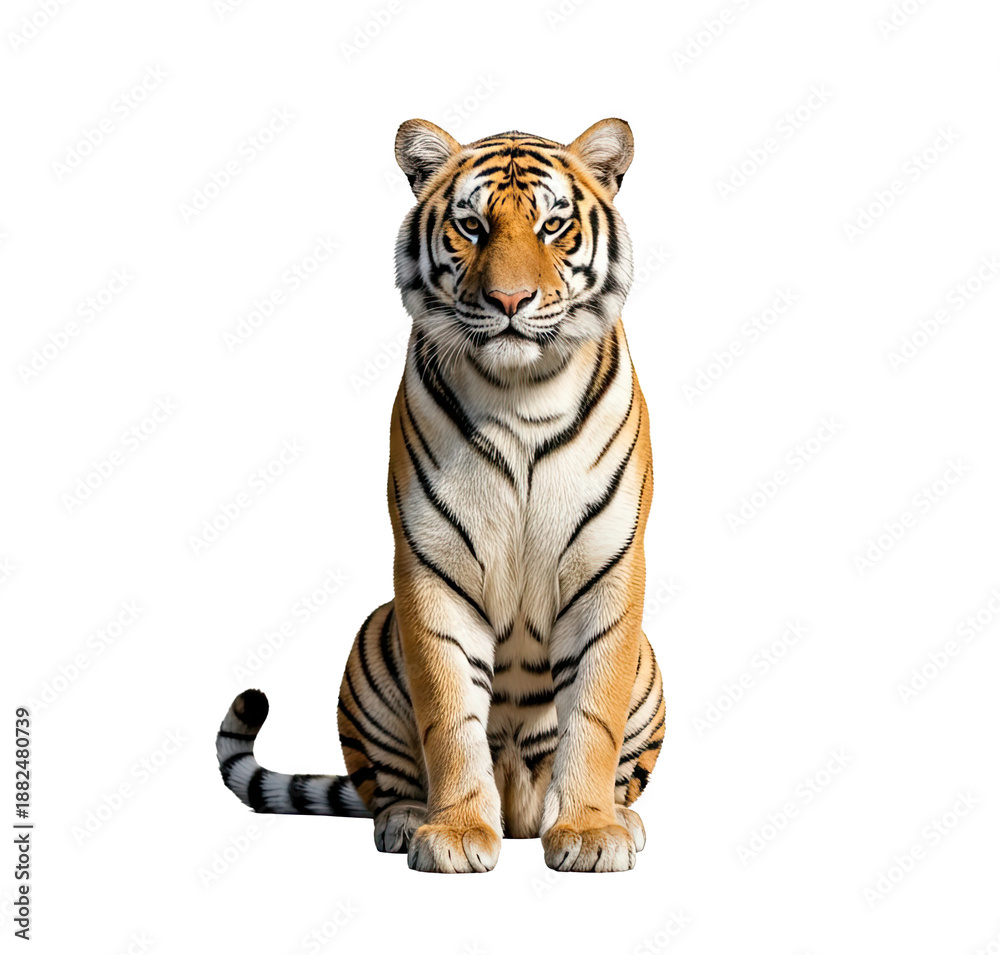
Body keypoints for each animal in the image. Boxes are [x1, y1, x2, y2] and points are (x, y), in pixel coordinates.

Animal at [217, 117, 664, 873]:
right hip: (372, 637)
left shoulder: (608, 565)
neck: (522, 393)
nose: (510, 302)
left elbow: (593, 715)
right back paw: (406, 820)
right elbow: (449, 713)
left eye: (552, 225)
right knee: (385, 782)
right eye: (471, 226)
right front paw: (453, 834)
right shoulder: (431, 567)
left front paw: (589, 829)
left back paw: (621, 818)